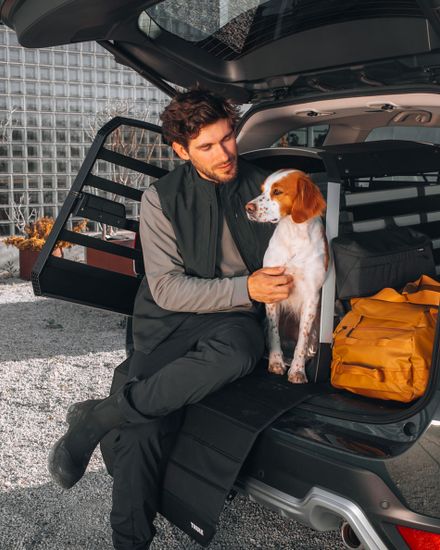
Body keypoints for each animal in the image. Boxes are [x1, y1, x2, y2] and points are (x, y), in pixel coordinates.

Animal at [246, 170, 328, 386]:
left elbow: (302, 339)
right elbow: (274, 333)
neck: (294, 234)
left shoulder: (311, 296)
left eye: (277, 191)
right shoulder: (271, 288)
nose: (248, 208)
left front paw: (298, 371)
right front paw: (276, 363)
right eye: (262, 190)